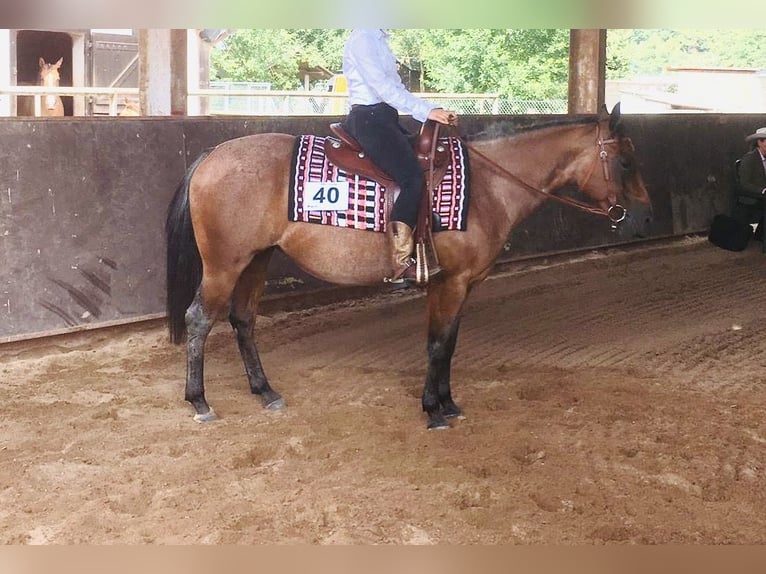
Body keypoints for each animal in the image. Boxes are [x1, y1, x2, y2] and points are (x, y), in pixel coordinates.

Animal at [165, 103, 653, 430]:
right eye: (625, 161)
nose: (645, 218)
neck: (488, 187)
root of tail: (210, 156)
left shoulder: (460, 284)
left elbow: (449, 343)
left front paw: (448, 403)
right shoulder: (450, 282)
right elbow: (437, 344)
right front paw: (433, 411)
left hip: (257, 260)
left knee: (243, 320)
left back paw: (265, 392)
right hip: (224, 265)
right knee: (199, 320)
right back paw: (200, 402)